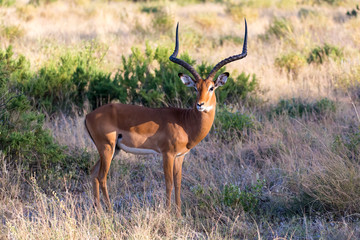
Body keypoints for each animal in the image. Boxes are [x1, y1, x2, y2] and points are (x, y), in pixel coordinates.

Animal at [84, 19, 248, 217]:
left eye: (211, 87)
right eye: (196, 87)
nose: (200, 104)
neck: (185, 122)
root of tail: (89, 115)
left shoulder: (180, 156)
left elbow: (178, 183)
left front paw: (178, 214)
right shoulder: (167, 154)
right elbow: (168, 183)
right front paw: (169, 213)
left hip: (113, 150)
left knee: (93, 173)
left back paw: (98, 210)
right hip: (107, 148)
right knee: (102, 177)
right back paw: (109, 211)